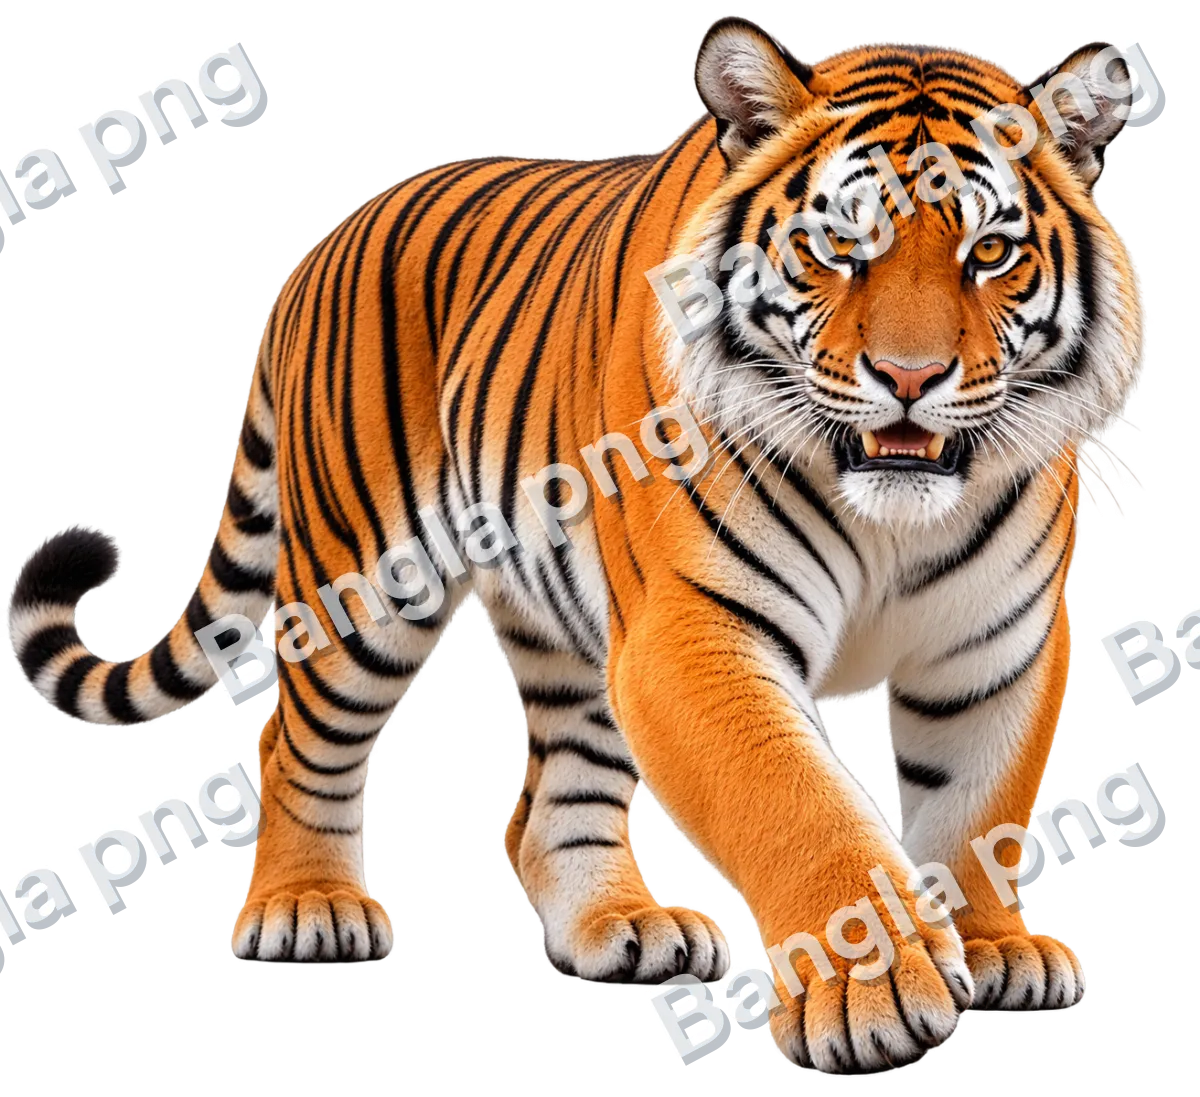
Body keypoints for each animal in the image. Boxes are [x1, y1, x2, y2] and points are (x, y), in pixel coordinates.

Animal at [5, 15, 1148, 1075]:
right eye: (836, 247)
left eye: (989, 251)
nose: (908, 378)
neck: (893, 515)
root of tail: (327, 239)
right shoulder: (696, 629)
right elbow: (798, 802)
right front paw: (871, 987)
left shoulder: (995, 648)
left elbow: (976, 811)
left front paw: (993, 945)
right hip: (365, 583)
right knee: (293, 739)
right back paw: (306, 907)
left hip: (574, 632)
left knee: (549, 798)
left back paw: (622, 925)